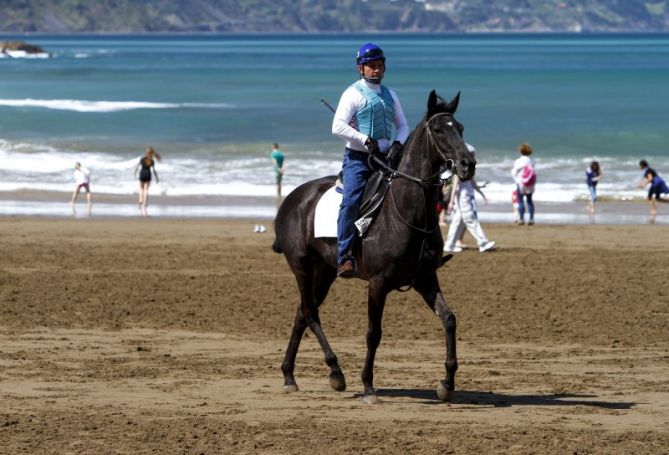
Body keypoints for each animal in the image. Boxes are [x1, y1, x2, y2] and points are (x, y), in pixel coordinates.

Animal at [272, 91, 474, 404]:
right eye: (439, 129)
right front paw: (368, 386)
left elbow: (449, 319)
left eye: (461, 128)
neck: (405, 212)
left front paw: (447, 382)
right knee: (310, 313)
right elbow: (373, 333)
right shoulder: (378, 284)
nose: (467, 165)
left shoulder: (425, 279)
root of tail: (293, 198)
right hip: (302, 267)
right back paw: (335, 372)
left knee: (302, 313)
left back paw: (289, 376)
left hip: (325, 272)